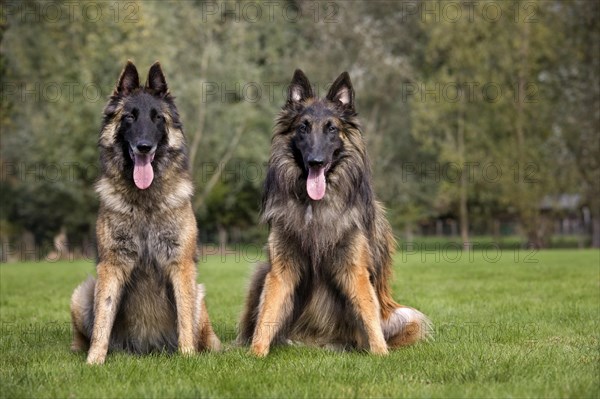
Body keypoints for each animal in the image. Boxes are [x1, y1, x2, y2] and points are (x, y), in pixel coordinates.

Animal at [239, 69, 432, 356]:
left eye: (332, 128)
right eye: (303, 127)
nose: (315, 162)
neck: (315, 206)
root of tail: (319, 342)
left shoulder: (354, 268)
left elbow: (368, 313)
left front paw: (380, 353)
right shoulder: (280, 269)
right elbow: (267, 314)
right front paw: (256, 353)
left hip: (405, 316)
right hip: (261, 274)